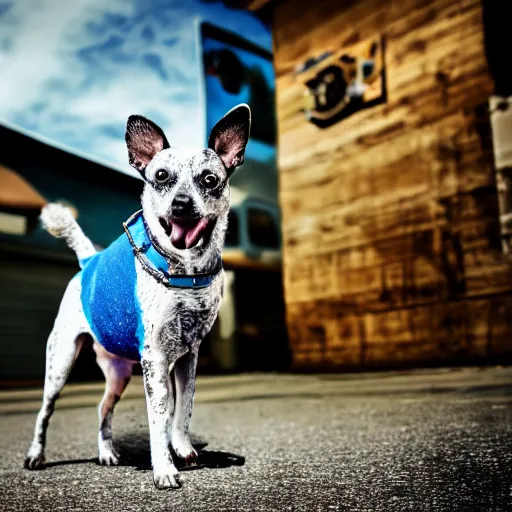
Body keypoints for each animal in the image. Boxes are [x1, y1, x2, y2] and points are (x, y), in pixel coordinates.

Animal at [24, 103, 252, 488]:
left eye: (209, 179)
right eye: (160, 176)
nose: (181, 204)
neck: (184, 273)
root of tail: (88, 261)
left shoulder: (187, 357)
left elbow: (182, 410)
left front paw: (182, 448)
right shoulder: (156, 359)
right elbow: (158, 419)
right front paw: (164, 468)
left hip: (118, 373)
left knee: (102, 408)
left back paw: (106, 453)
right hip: (60, 362)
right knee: (44, 412)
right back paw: (35, 455)